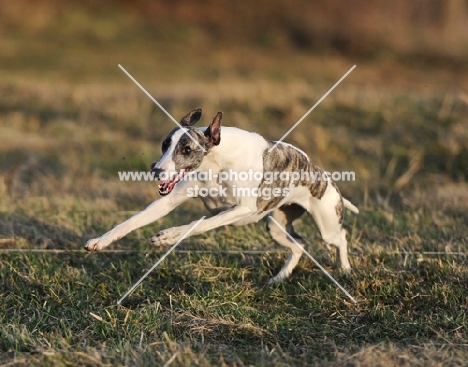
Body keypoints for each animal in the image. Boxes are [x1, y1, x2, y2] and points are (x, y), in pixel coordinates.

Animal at [86, 108, 360, 284]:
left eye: (187, 149)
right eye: (165, 144)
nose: (157, 171)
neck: (216, 162)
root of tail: (321, 174)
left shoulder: (241, 210)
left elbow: (198, 225)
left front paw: (166, 236)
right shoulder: (169, 200)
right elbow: (130, 221)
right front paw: (99, 242)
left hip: (326, 224)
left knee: (341, 237)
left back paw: (345, 270)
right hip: (275, 225)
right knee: (300, 245)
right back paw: (279, 278)